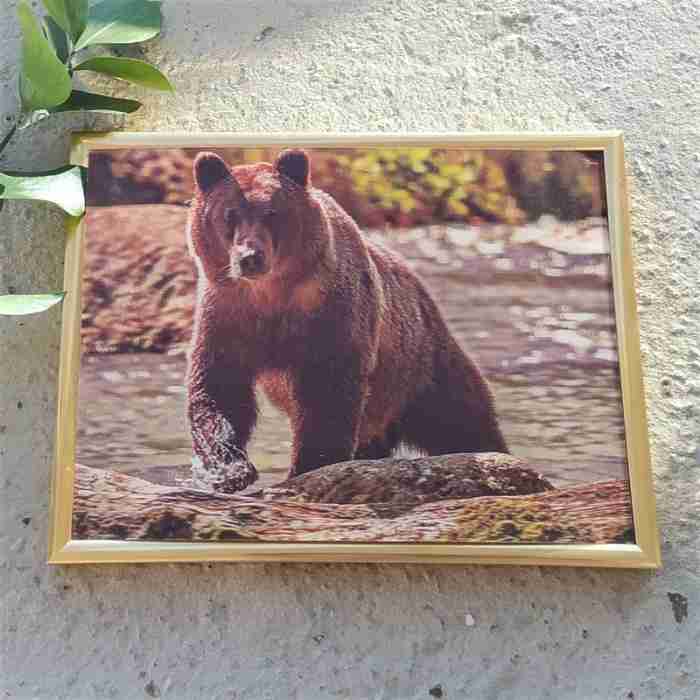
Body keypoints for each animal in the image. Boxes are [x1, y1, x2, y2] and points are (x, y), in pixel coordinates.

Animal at [186, 148, 508, 493]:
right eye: (229, 214)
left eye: (272, 213)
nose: (250, 257)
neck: (272, 295)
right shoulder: (227, 315)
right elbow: (220, 388)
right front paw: (230, 470)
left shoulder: (332, 313)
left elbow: (328, 392)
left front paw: (308, 465)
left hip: (420, 363)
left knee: (461, 417)